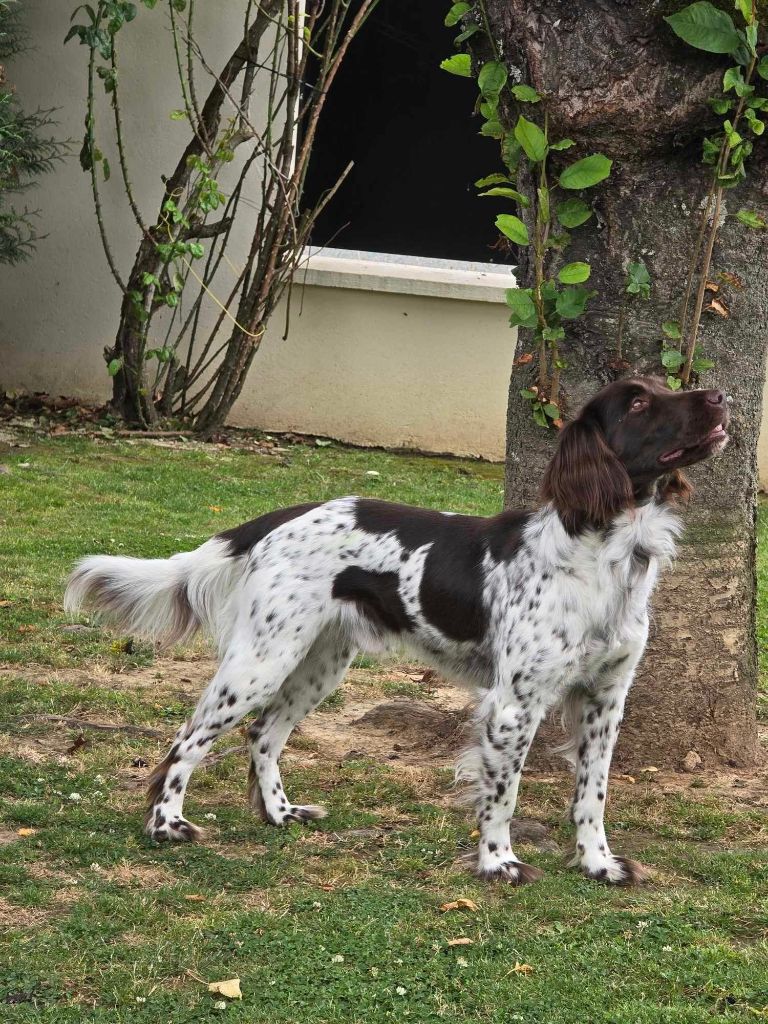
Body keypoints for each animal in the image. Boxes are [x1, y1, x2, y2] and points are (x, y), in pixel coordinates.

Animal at [64, 376, 729, 880]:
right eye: (638, 404)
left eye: (662, 386)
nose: (721, 394)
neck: (606, 557)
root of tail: (282, 518)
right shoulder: (514, 705)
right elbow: (503, 794)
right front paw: (498, 863)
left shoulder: (605, 700)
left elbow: (592, 794)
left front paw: (597, 864)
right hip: (261, 662)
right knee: (186, 740)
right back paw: (166, 824)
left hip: (319, 664)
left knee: (263, 734)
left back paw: (279, 814)